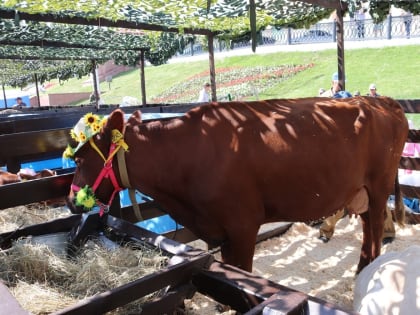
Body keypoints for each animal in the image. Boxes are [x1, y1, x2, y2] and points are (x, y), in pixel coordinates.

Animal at [65, 97, 406, 272]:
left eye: (79, 160)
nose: (70, 201)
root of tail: (380, 100)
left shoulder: (243, 226)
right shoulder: (223, 233)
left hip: (379, 187)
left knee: (375, 232)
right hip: (361, 191)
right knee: (367, 231)